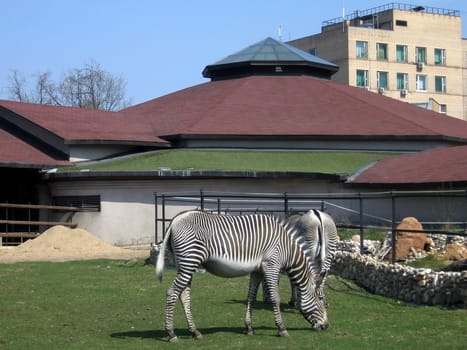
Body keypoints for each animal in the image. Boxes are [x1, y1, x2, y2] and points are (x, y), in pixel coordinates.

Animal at [156, 211, 330, 342]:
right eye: (321, 299)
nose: (326, 326)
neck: (287, 248)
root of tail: (176, 220)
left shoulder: (258, 270)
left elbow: (250, 297)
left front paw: (249, 327)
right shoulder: (271, 265)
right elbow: (275, 298)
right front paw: (282, 329)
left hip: (186, 264)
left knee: (184, 295)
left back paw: (195, 331)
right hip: (189, 261)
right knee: (172, 293)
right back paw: (171, 333)